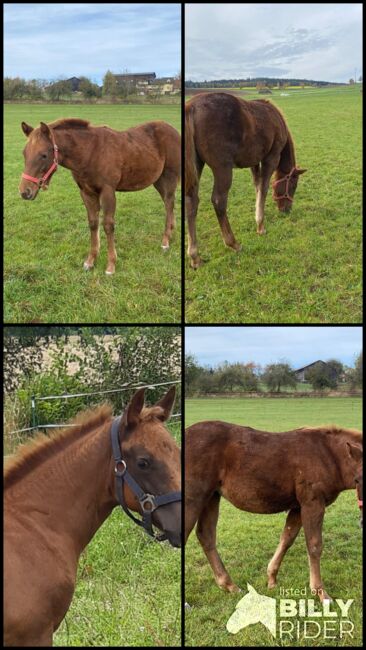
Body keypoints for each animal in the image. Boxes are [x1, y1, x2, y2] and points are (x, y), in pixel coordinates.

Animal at [19, 119, 180, 274]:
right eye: (24, 153)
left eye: (44, 155)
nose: (25, 192)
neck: (90, 152)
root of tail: (173, 130)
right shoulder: (86, 192)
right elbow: (93, 223)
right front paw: (90, 261)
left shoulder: (108, 191)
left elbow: (108, 225)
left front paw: (111, 265)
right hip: (158, 180)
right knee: (168, 204)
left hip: (169, 176)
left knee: (169, 203)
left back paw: (165, 241)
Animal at [186, 92, 306, 268]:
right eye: (293, 185)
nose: (286, 209)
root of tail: (191, 107)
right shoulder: (271, 157)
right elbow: (263, 188)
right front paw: (261, 226)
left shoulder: (254, 160)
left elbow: (257, 186)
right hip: (222, 167)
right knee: (218, 201)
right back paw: (233, 243)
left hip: (196, 164)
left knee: (191, 202)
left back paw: (195, 257)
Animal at [186, 422, 364, 600]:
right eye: (357, 479)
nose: (362, 521)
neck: (328, 455)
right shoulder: (312, 504)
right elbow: (314, 545)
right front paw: (321, 593)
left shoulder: (298, 507)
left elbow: (287, 538)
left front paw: (271, 579)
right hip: (195, 499)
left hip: (212, 497)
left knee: (206, 535)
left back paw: (230, 585)